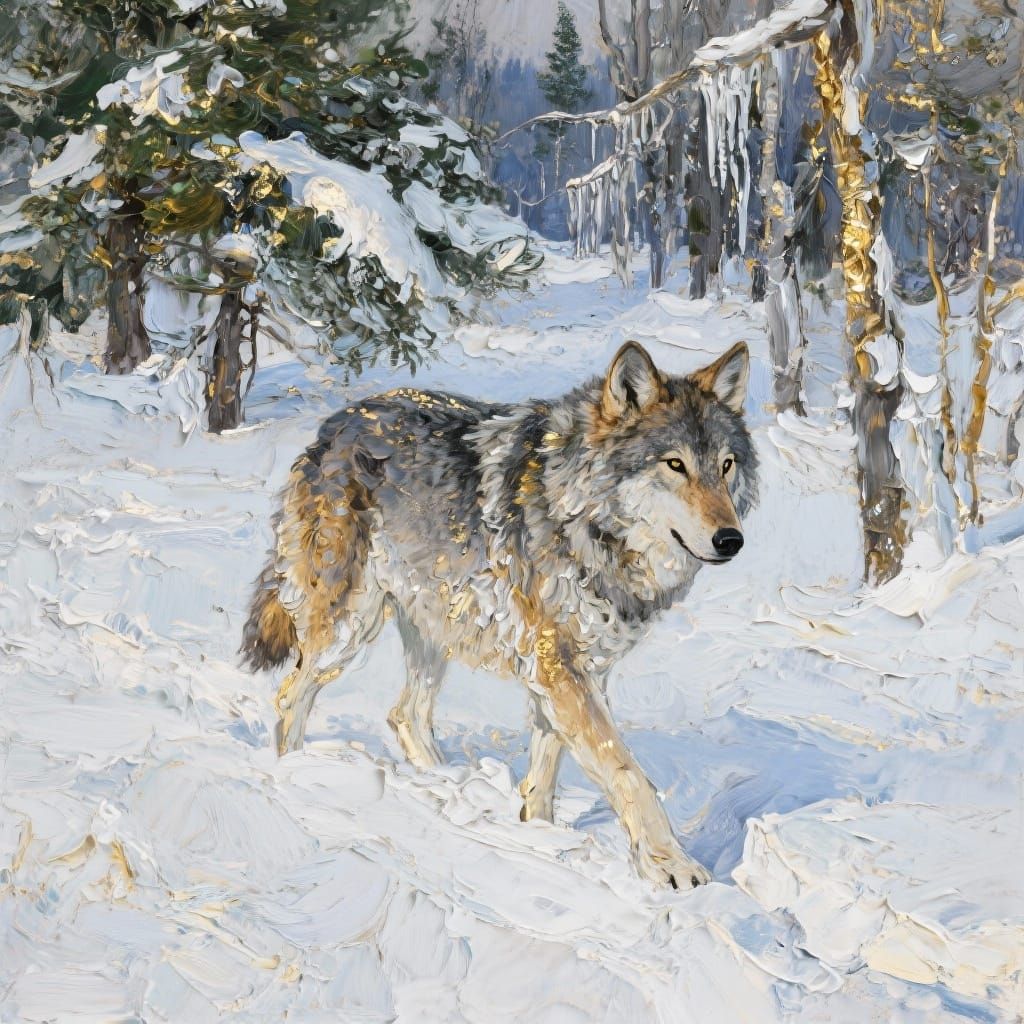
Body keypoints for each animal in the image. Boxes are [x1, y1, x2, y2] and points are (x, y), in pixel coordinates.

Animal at [242, 340, 757, 888]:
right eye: (675, 464)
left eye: (726, 465)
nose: (731, 540)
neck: (582, 520)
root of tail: (334, 425)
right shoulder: (559, 666)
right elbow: (625, 771)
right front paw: (670, 865)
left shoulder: (574, 667)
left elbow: (548, 764)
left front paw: (540, 837)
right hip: (349, 627)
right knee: (290, 696)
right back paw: (296, 779)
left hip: (435, 625)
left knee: (405, 713)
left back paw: (443, 787)